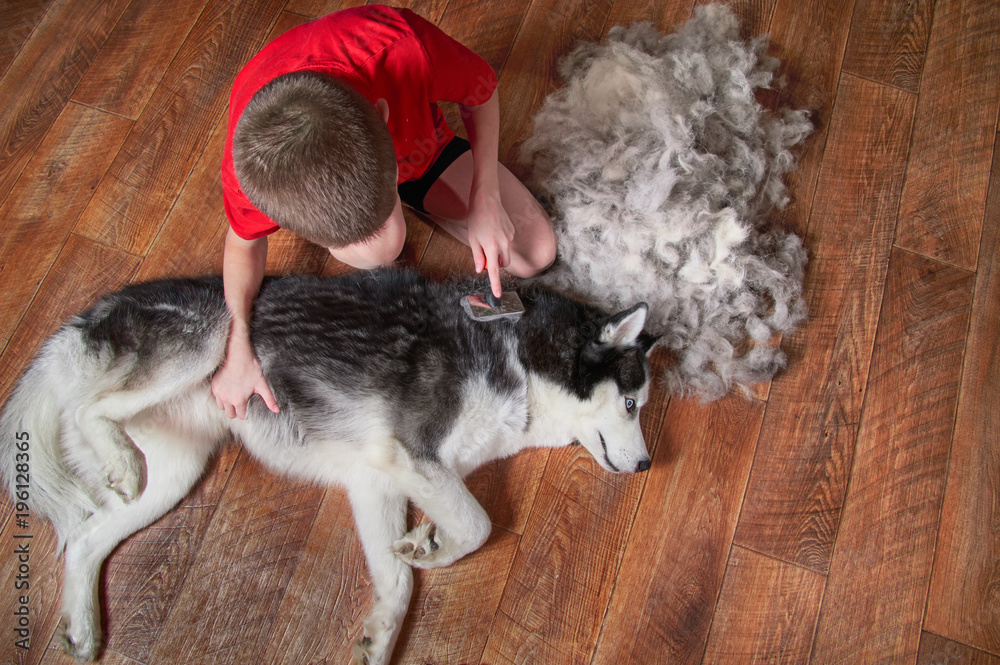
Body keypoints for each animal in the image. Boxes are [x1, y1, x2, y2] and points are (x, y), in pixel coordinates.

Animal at [0, 268, 656, 664]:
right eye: (632, 403)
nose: (649, 464)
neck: (518, 355)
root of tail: (90, 313)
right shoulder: (414, 451)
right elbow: (478, 525)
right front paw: (436, 548)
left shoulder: (379, 477)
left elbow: (399, 581)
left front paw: (384, 628)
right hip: (211, 337)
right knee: (90, 409)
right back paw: (112, 453)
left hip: (174, 473)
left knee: (86, 540)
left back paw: (82, 626)